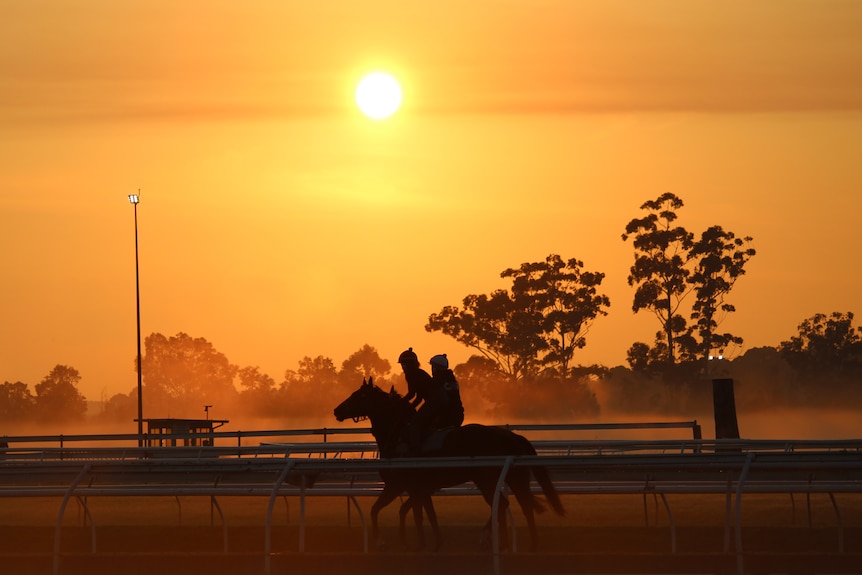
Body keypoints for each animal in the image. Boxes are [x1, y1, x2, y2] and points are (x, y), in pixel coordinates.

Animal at [332, 378, 568, 552]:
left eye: (358, 395)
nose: (336, 410)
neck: (398, 435)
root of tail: (512, 436)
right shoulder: (417, 489)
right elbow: (421, 513)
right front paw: (428, 543)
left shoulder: (399, 486)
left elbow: (393, 511)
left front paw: (390, 542)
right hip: (514, 477)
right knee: (518, 504)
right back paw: (517, 543)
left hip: (488, 479)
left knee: (504, 504)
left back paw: (501, 541)